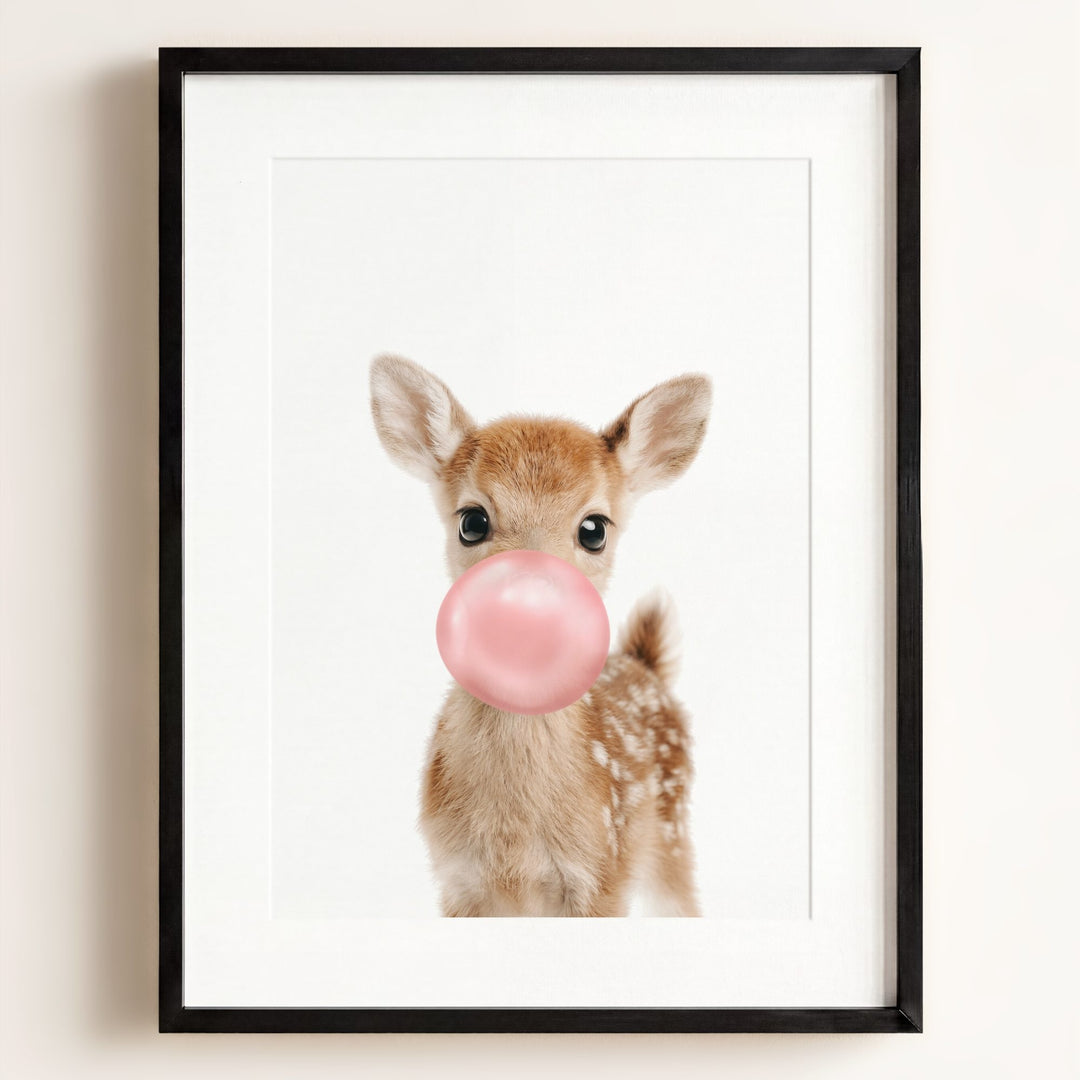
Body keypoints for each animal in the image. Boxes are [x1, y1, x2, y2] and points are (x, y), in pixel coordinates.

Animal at [370, 354, 712, 916]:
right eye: (472, 521)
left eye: (594, 529)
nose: (530, 599)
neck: (514, 842)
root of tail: (645, 663)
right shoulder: (457, 881)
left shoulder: (602, 876)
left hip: (672, 833)